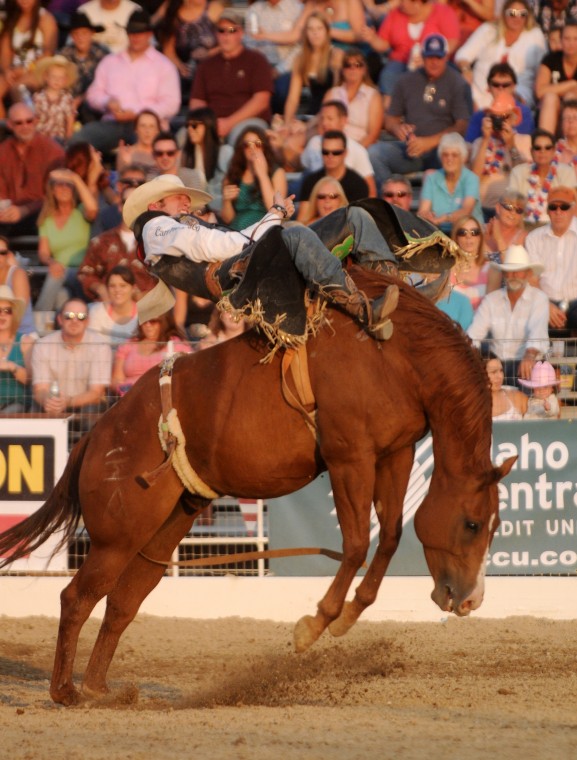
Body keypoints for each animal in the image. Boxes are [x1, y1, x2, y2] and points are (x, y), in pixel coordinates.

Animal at [0, 268, 512, 708]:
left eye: (494, 527)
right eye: (471, 524)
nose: (470, 599)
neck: (397, 353)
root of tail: (98, 432)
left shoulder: (396, 452)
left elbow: (387, 537)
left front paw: (348, 615)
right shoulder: (350, 457)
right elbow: (355, 544)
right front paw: (314, 625)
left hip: (163, 528)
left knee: (122, 602)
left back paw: (99, 689)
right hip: (117, 536)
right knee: (77, 597)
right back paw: (66, 691)